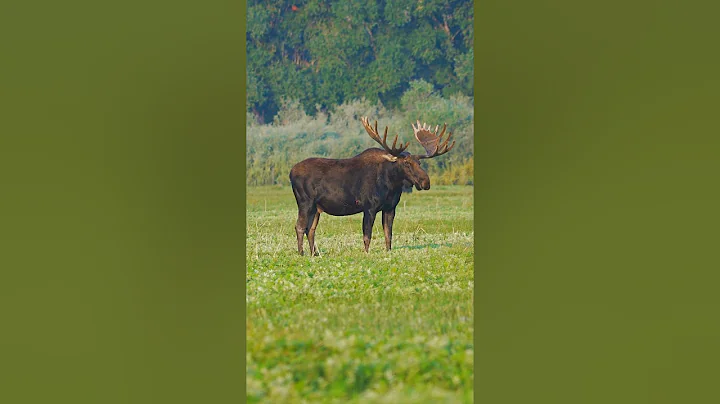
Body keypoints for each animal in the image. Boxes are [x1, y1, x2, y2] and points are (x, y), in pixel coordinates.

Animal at [289, 117, 455, 256]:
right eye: (406, 163)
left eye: (419, 162)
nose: (425, 182)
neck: (391, 186)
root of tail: (290, 173)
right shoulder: (369, 207)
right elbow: (367, 235)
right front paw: (367, 254)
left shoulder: (390, 208)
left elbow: (388, 234)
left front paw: (388, 252)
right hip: (305, 202)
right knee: (299, 226)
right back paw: (301, 253)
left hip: (317, 208)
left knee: (310, 229)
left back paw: (314, 253)